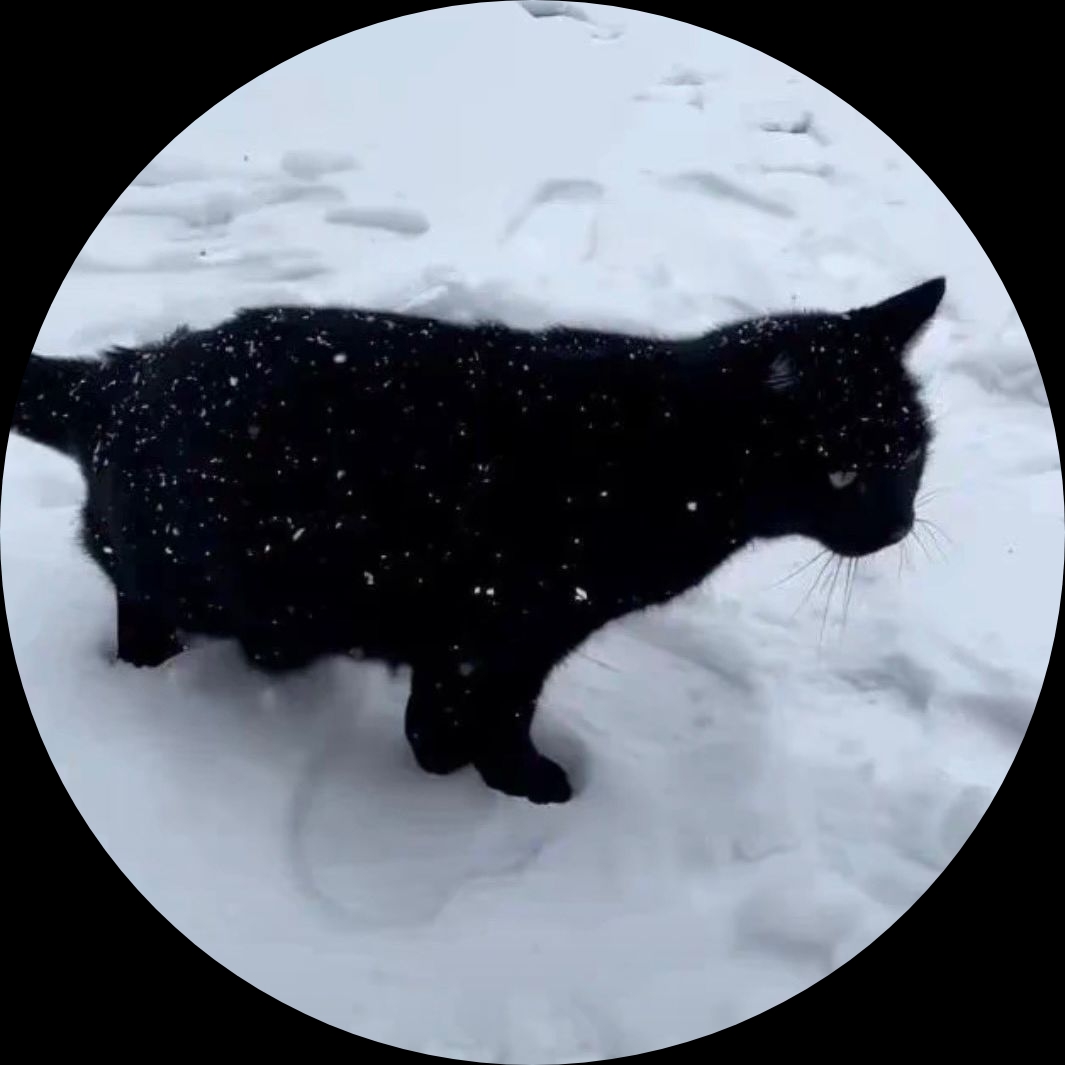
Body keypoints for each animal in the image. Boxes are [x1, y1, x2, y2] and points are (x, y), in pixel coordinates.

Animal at [11, 277, 944, 804]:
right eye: (845, 474)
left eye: (911, 455)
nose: (898, 523)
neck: (663, 454)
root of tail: (123, 373)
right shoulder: (501, 630)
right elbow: (477, 719)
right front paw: (512, 784)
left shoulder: (489, 639)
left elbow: (456, 714)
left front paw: (462, 772)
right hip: (194, 569)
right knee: (134, 603)